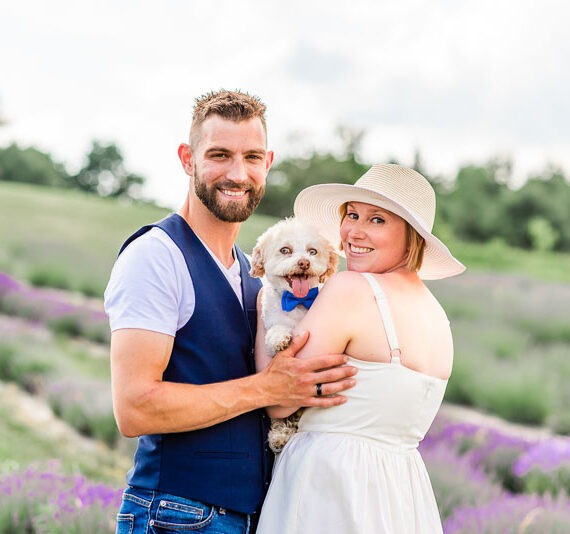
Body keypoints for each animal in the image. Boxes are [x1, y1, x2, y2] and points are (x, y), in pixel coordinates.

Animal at [250, 218, 338, 452]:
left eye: (312, 251)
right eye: (285, 250)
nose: (304, 263)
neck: (299, 301)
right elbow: (276, 332)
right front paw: (280, 338)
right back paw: (279, 436)